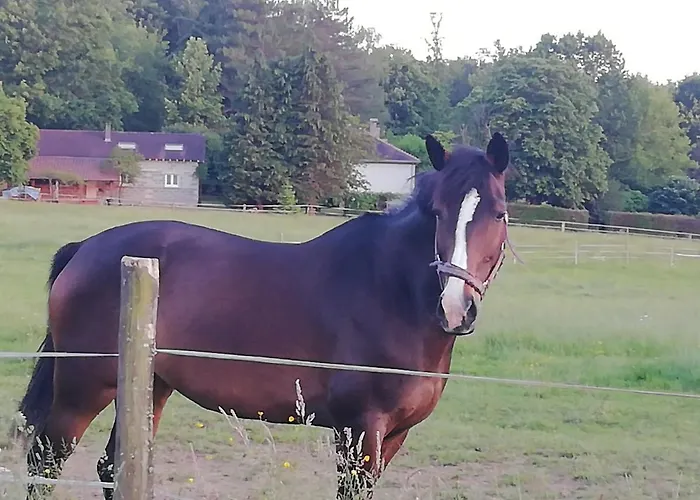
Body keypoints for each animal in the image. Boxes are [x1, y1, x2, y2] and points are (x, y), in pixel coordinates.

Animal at [16, 132, 513, 499]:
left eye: (499, 214)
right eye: (438, 213)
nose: (454, 308)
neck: (392, 296)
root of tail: (86, 249)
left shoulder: (393, 437)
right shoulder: (359, 431)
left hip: (150, 386)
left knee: (112, 466)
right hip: (82, 387)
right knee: (46, 461)